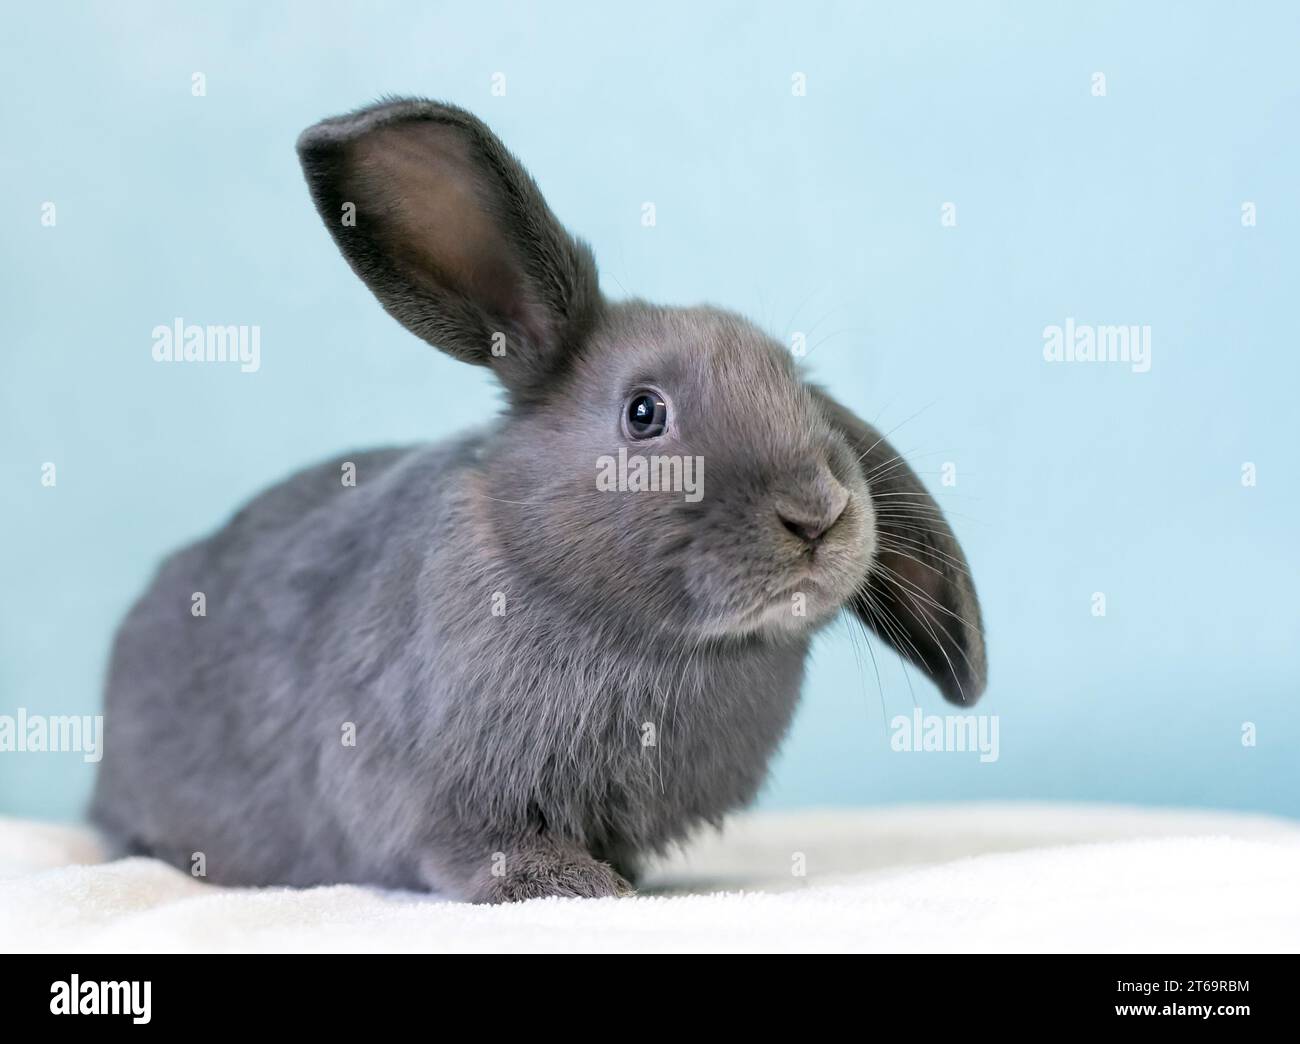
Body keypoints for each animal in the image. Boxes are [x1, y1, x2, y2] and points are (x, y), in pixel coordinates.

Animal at [90, 98, 985, 902]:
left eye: (801, 393)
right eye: (644, 413)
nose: (818, 513)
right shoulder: (444, 798)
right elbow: (480, 851)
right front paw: (574, 886)